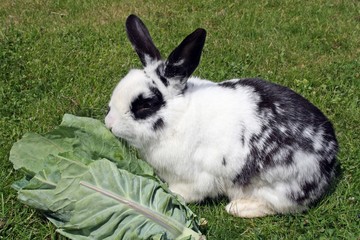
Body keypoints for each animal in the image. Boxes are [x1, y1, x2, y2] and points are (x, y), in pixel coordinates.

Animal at [105, 14, 340, 218]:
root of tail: (329, 158)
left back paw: (238, 208)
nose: (109, 124)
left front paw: (170, 194)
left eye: (145, 105)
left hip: (278, 188)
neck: (178, 117)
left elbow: (188, 191)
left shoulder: (197, 177)